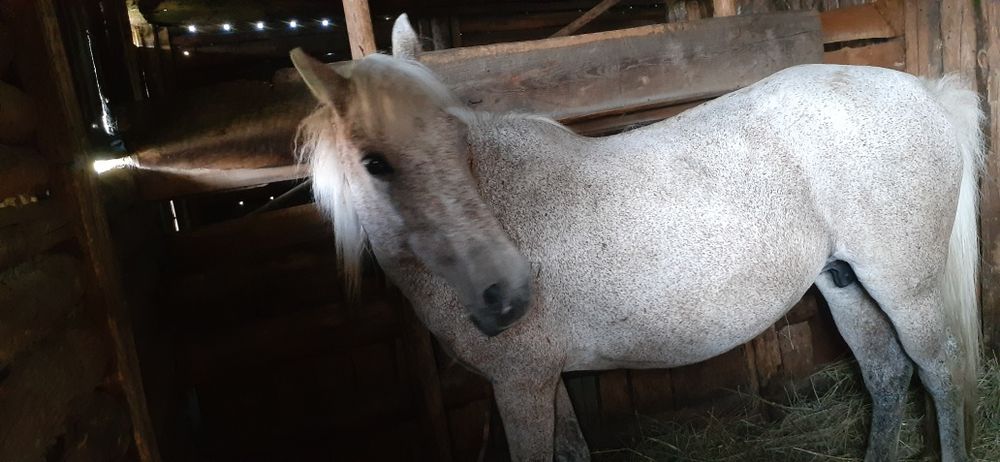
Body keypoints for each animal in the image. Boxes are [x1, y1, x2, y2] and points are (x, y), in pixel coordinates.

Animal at [289, 15, 983, 461]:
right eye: (374, 163)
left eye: (459, 140)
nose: (505, 296)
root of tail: (924, 91)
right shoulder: (547, 380)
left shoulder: (520, 385)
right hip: (842, 282)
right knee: (887, 374)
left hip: (905, 287)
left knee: (941, 369)